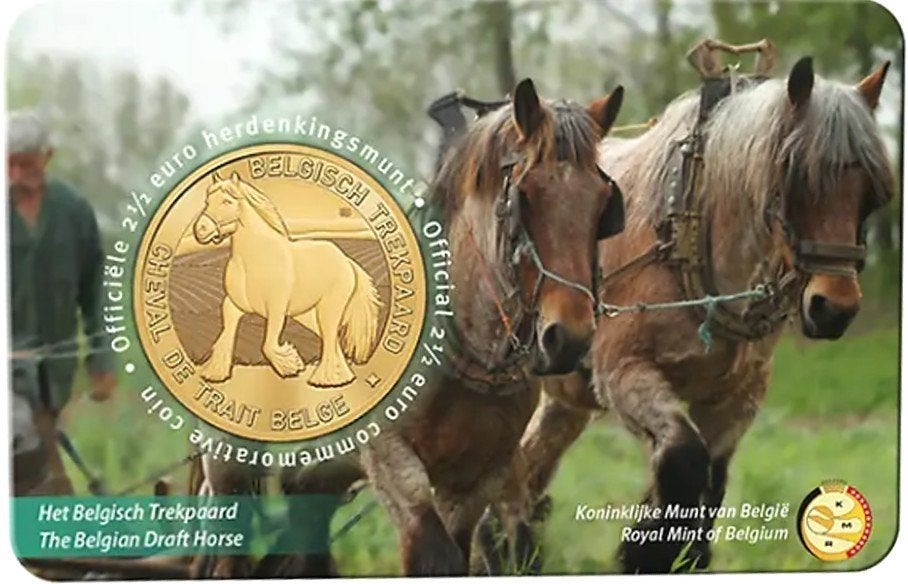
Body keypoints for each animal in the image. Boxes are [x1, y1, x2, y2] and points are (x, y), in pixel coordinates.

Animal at [191, 172, 381, 388]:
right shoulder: (233, 306)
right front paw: (215, 374)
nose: (200, 230)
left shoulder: (276, 309)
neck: (252, 259)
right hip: (308, 314)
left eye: (226, 201)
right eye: (207, 201)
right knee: (329, 339)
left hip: (330, 307)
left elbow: (268, 345)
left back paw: (326, 379)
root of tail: (347, 261)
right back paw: (340, 376)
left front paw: (292, 365)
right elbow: (225, 338)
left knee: (331, 335)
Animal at [494, 57, 894, 573]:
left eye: (870, 191)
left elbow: (713, 474)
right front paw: (643, 550)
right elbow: (685, 457)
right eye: (797, 176)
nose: (835, 308)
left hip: (566, 395)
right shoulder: (621, 370)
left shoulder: (739, 392)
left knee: (530, 459)